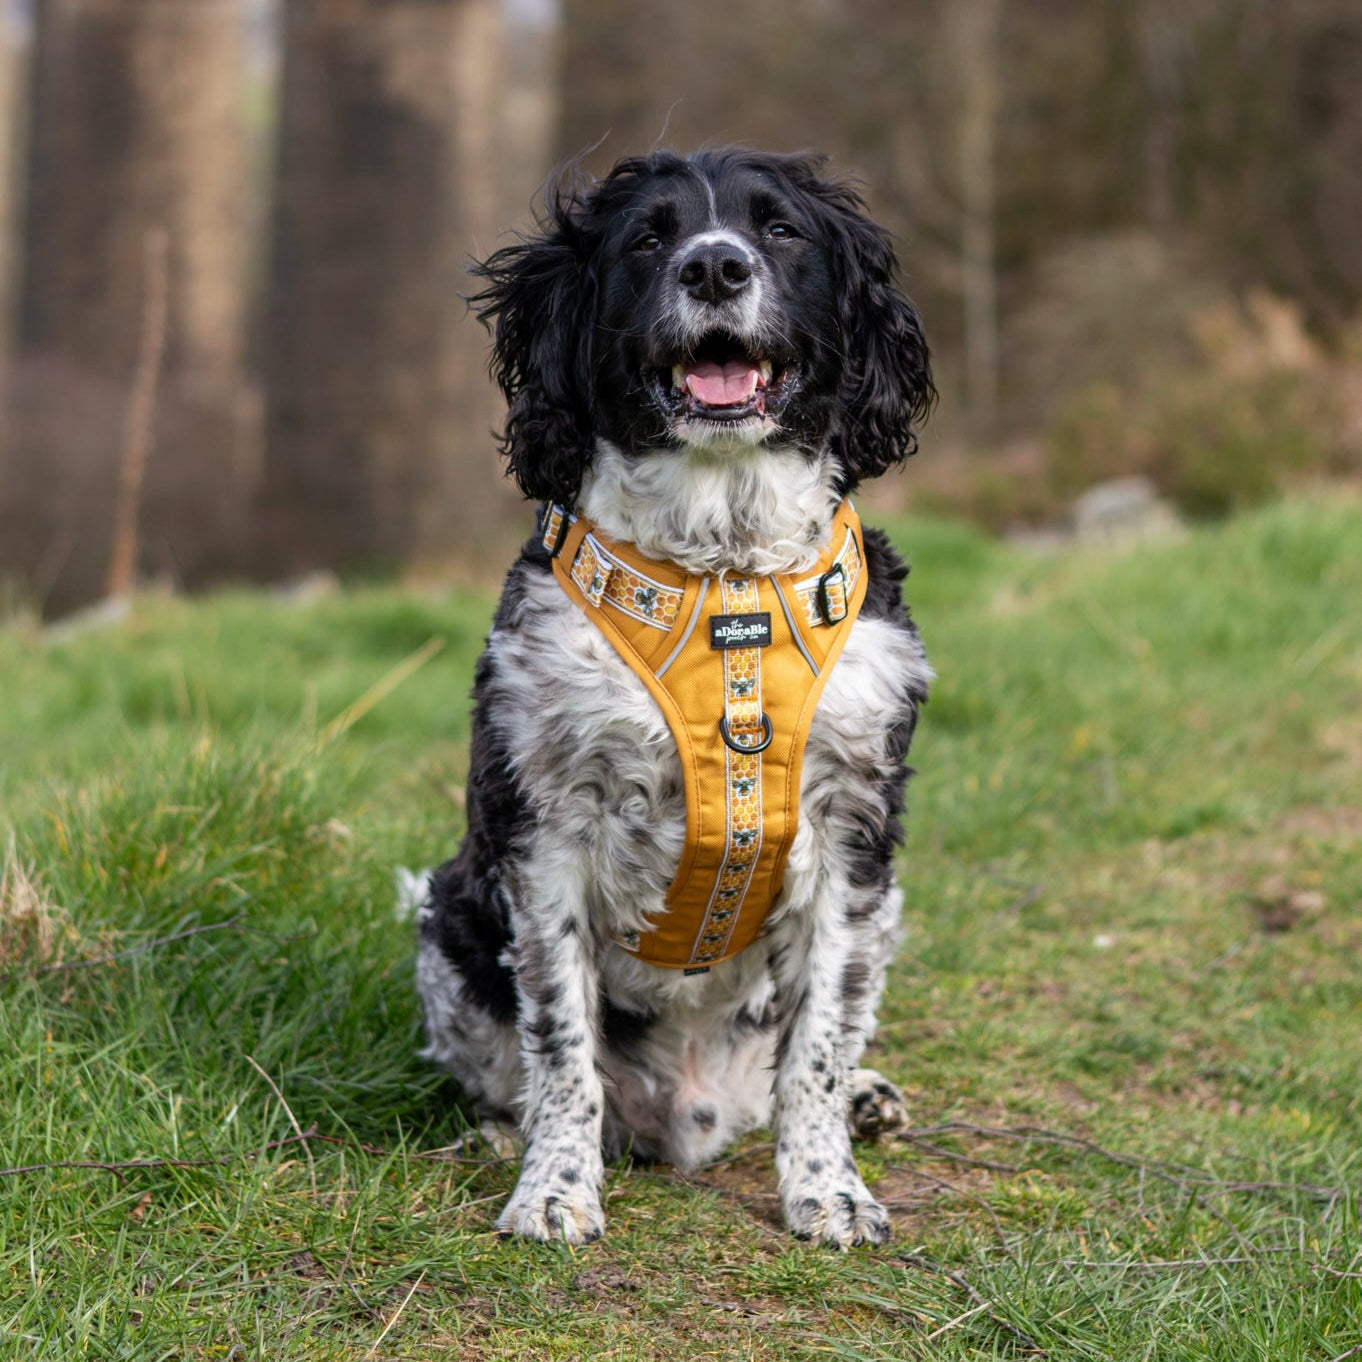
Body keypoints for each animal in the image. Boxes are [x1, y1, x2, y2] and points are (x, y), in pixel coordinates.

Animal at [415, 147, 934, 1248]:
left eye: (780, 230)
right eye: (649, 239)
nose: (715, 266)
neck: (725, 574)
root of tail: (695, 1115)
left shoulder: (853, 829)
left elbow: (816, 1048)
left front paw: (828, 1192)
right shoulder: (542, 832)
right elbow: (561, 1047)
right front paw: (553, 1190)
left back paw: (867, 1098)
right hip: (449, 915)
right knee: (508, 1072)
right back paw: (501, 1135)